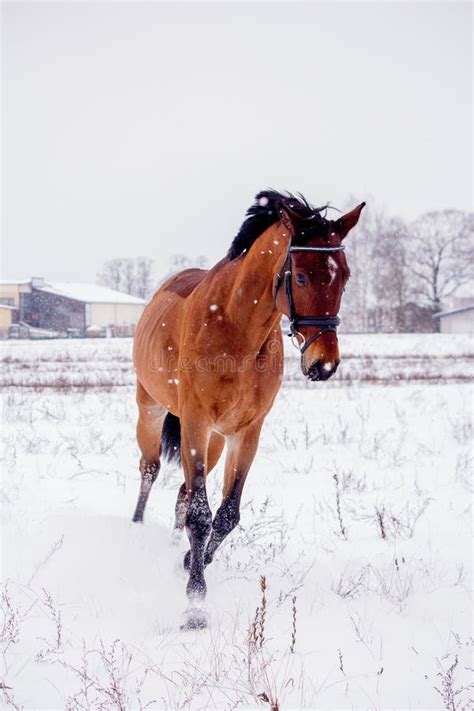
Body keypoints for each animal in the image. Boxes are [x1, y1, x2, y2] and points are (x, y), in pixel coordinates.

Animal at [131, 189, 364, 628]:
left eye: (344, 276)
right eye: (301, 276)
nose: (323, 365)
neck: (235, 328)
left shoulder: (246, 432)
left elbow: (226, 514)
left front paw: (191, 562)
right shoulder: (195, 422)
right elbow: (202, 514)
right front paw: (195, 606)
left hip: (215, 441)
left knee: (183, 491)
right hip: (151, 411)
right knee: (150, 470)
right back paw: (134, 528)